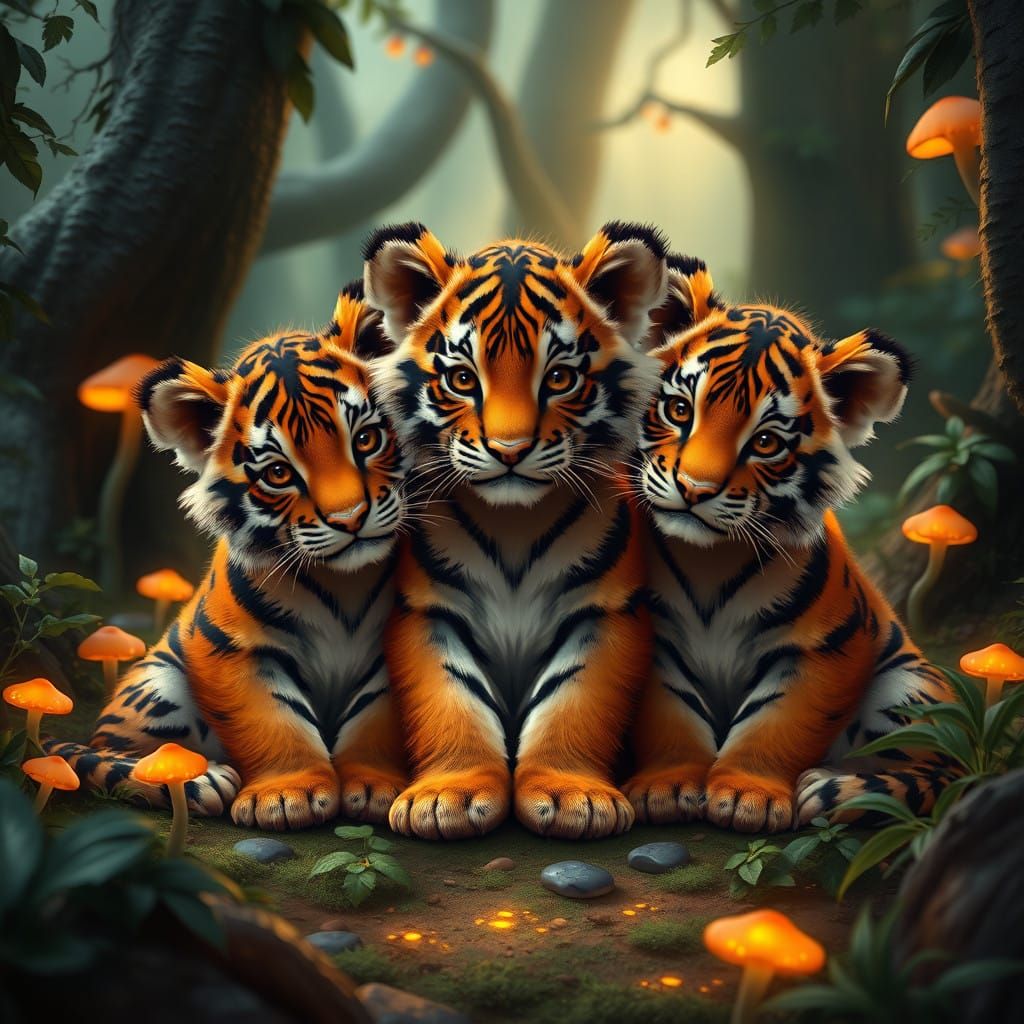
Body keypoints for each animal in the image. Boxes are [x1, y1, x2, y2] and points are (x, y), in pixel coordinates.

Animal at [49, 282, 412, 830]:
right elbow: (272, 720)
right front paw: (287, 796)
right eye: (279, 473)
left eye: (366, 439)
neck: (343, 582)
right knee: (107, 751)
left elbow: (376, 717)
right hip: (158, 684)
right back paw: (197, 779)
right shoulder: (230, 650)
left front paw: (372, 786)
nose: (349, 519)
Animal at [364, 221, 666, 840]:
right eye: (462, 378)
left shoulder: (605, 612)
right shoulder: (428, 612)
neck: (514, 525)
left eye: (560, 377)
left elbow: (574, 701)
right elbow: (451, 699)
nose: (509, 450)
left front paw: (572, 796)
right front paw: (449, 797)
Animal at [622, 255, 953, 833]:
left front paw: (746, 796)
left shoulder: (826, 649)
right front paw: (668, 786)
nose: (694, 490)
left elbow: (776, 723)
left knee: (934, 770)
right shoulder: (657, 639)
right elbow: (671, 713)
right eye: (680, 410)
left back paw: (840, 787)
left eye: (765, 442)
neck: (706, 559)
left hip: (910, 686)